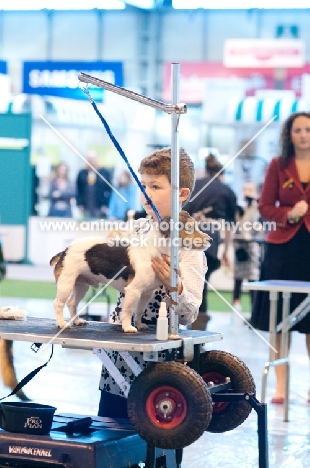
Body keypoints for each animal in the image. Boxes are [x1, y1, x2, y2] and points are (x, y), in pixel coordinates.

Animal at [50, 212, 211, 332]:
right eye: (190, 228)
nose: (210, 239)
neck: (157, 250)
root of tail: (64, 251)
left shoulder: (146, 293)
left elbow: (139, 311)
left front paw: (139, 324)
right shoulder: (133, 291)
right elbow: (128, 311)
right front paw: (128, 327)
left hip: (81, 285)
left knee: (71, 303)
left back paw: (77, 321)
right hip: (66, 282)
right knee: (58, 303)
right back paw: (62, 323)